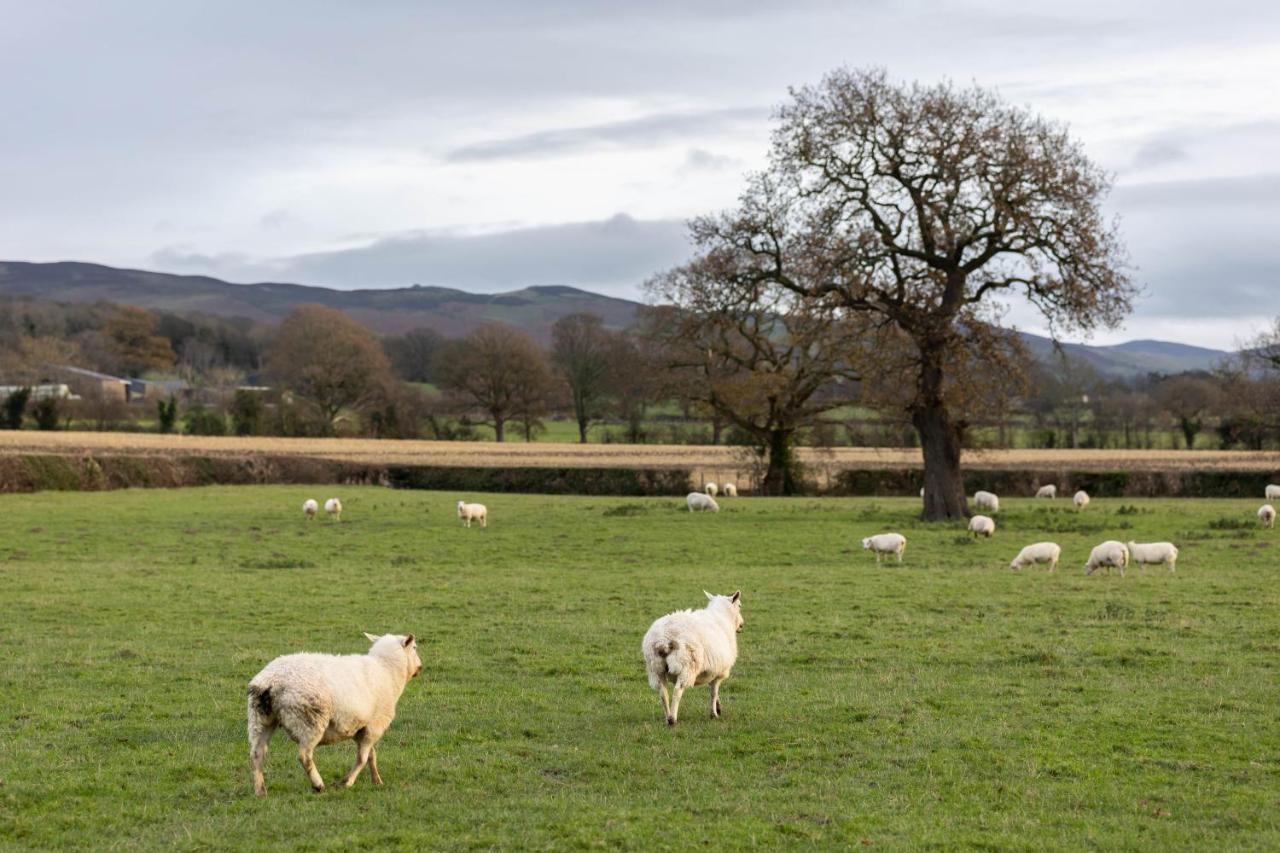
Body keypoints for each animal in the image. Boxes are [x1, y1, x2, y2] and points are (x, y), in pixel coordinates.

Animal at [248, 627, 424, 794]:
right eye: (415, 647)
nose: (420, 667)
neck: (387, 670)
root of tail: (270, 680)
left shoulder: (360, 728)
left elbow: (371, 756)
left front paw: (377, 781)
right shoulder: (374, 726)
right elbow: (362, 758)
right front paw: (347, 782)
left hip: (260, 718)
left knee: (257, 753)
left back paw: (260, 790)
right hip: (310, 720)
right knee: (304, 756)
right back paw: (318, 785)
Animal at [640, 591, 742, 722]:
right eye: (739, 605)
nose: (742, 625)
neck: (722, 617)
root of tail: (664, 638)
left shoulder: (712, 671)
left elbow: (713, 691)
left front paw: (718, 708)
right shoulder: (719, 672)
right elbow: (713, 692)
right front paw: (714, 713)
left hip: (656, 668)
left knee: (663, 692)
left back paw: (667, 717)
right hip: (686, 666)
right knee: (677, 691)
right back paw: (672, 719)